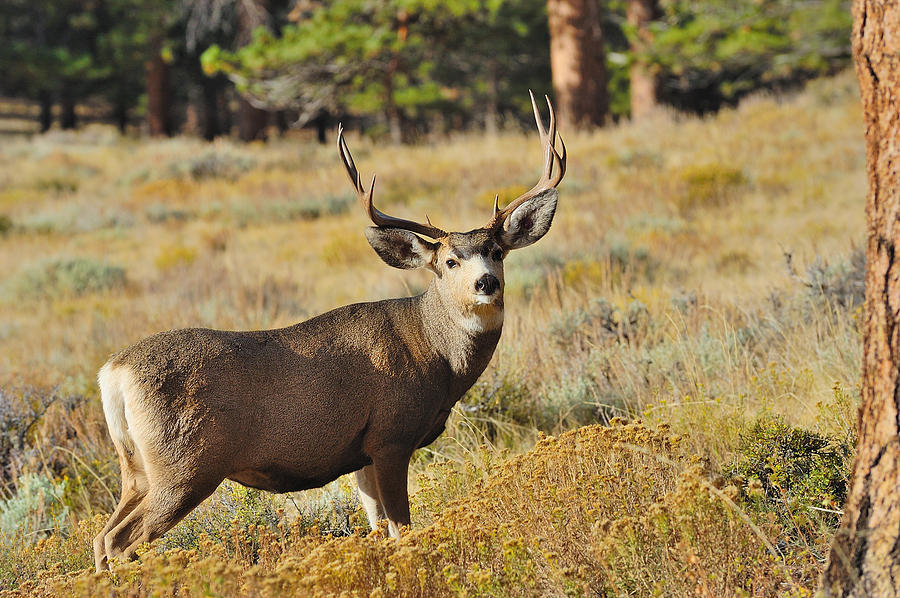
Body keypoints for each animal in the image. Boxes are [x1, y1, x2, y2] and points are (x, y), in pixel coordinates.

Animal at [95, 92, 568, 572]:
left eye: (496, 252)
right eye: (450, 261)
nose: (486, 283)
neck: (433, 354)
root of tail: (113, 372)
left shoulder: (361, 453)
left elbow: (379, 528)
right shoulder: (391, 436)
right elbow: (403, 528)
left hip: (137, 470)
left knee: (101, 536)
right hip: (185, 466)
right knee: (120, 539)